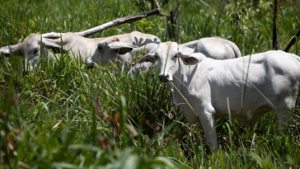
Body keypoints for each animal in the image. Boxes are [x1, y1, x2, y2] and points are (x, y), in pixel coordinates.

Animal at [141, 41, 300, 150]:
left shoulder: (206, 112)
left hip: (284, 109)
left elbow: (212, 145)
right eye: (157, 57)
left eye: (175, 56)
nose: (163, 76)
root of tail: (291, 56)